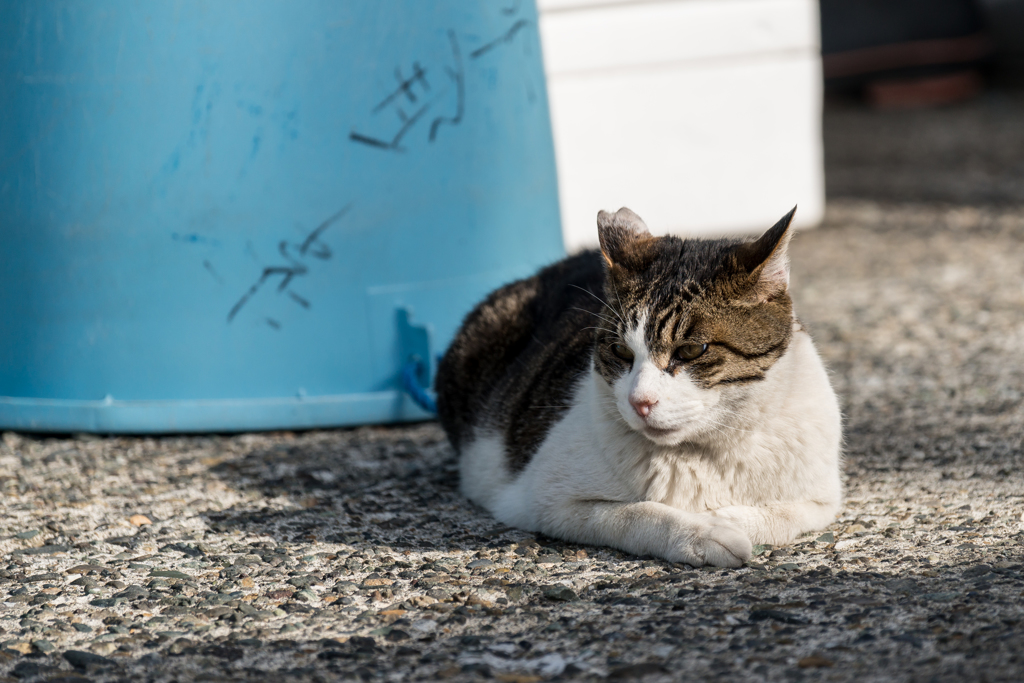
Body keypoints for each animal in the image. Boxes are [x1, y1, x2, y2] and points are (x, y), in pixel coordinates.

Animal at [432, 206, 839, 565]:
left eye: (691, 350)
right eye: (620, 351)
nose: (640, 401)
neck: (704, 451)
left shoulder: (823, 499)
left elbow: (785, 514)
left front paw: (725, 518)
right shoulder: (545, 500)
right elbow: (635, 514)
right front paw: (702, 532)